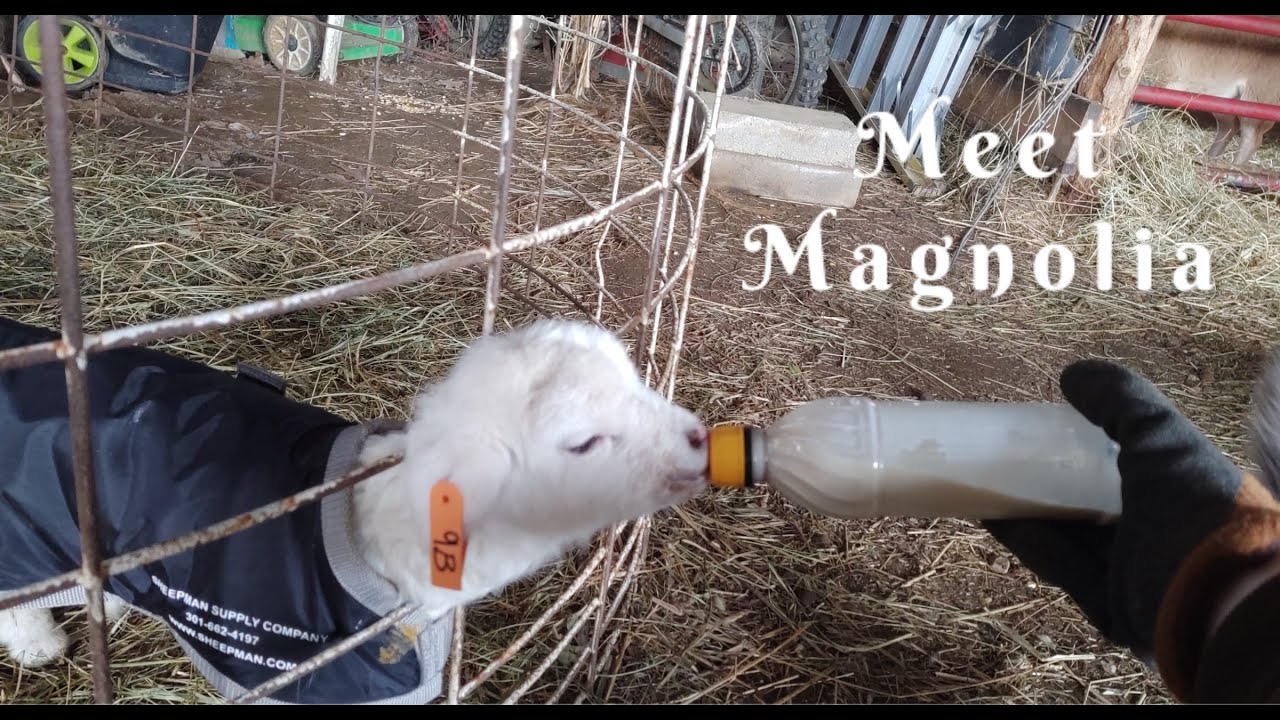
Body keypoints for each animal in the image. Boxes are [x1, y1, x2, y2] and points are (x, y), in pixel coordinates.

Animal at [1142, 19, 1280, 167]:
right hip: (1224, 99)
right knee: (1228, 128)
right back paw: (1210, 158)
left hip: (1258, 97)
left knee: (1252, 138)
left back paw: (1234, 167)